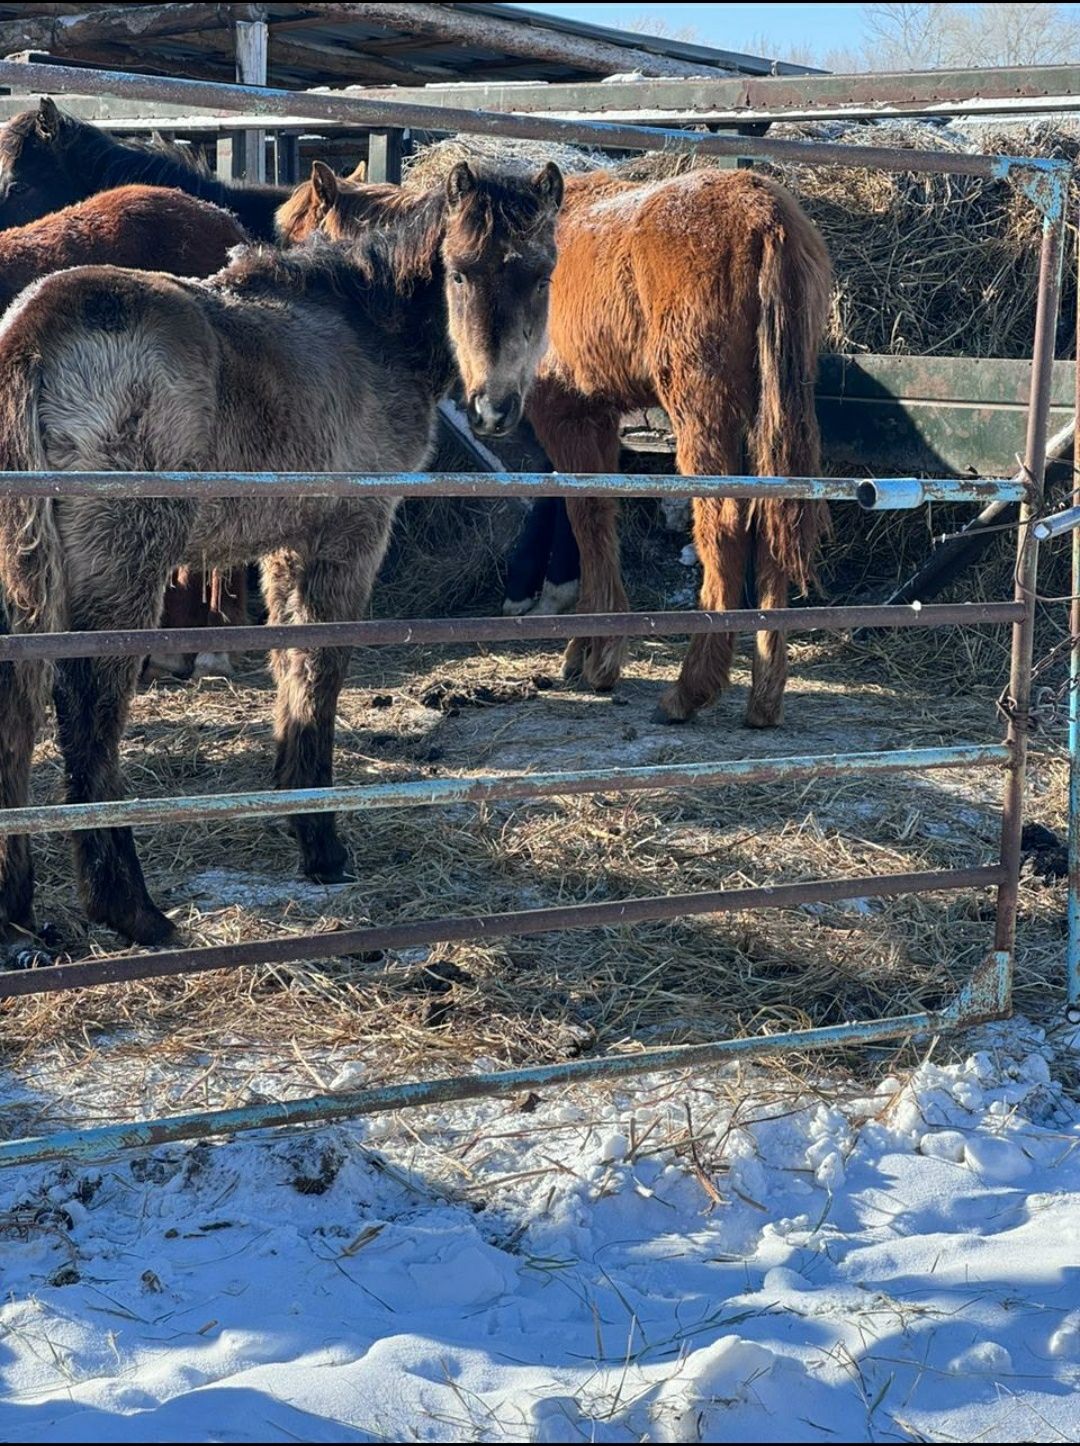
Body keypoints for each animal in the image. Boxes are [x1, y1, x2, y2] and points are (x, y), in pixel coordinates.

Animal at [2, 161, 566, 948]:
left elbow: (289, 661)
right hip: (122, 562)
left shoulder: (285, 547)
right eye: (458, 271)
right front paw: (321, 842)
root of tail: (34, 331)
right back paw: (131, 908)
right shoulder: (348, 536)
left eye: (541, 274)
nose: (493, 408)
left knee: (17, 702)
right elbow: (318, 670)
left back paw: (17, 914)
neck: (365, 325)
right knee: (88, 710)